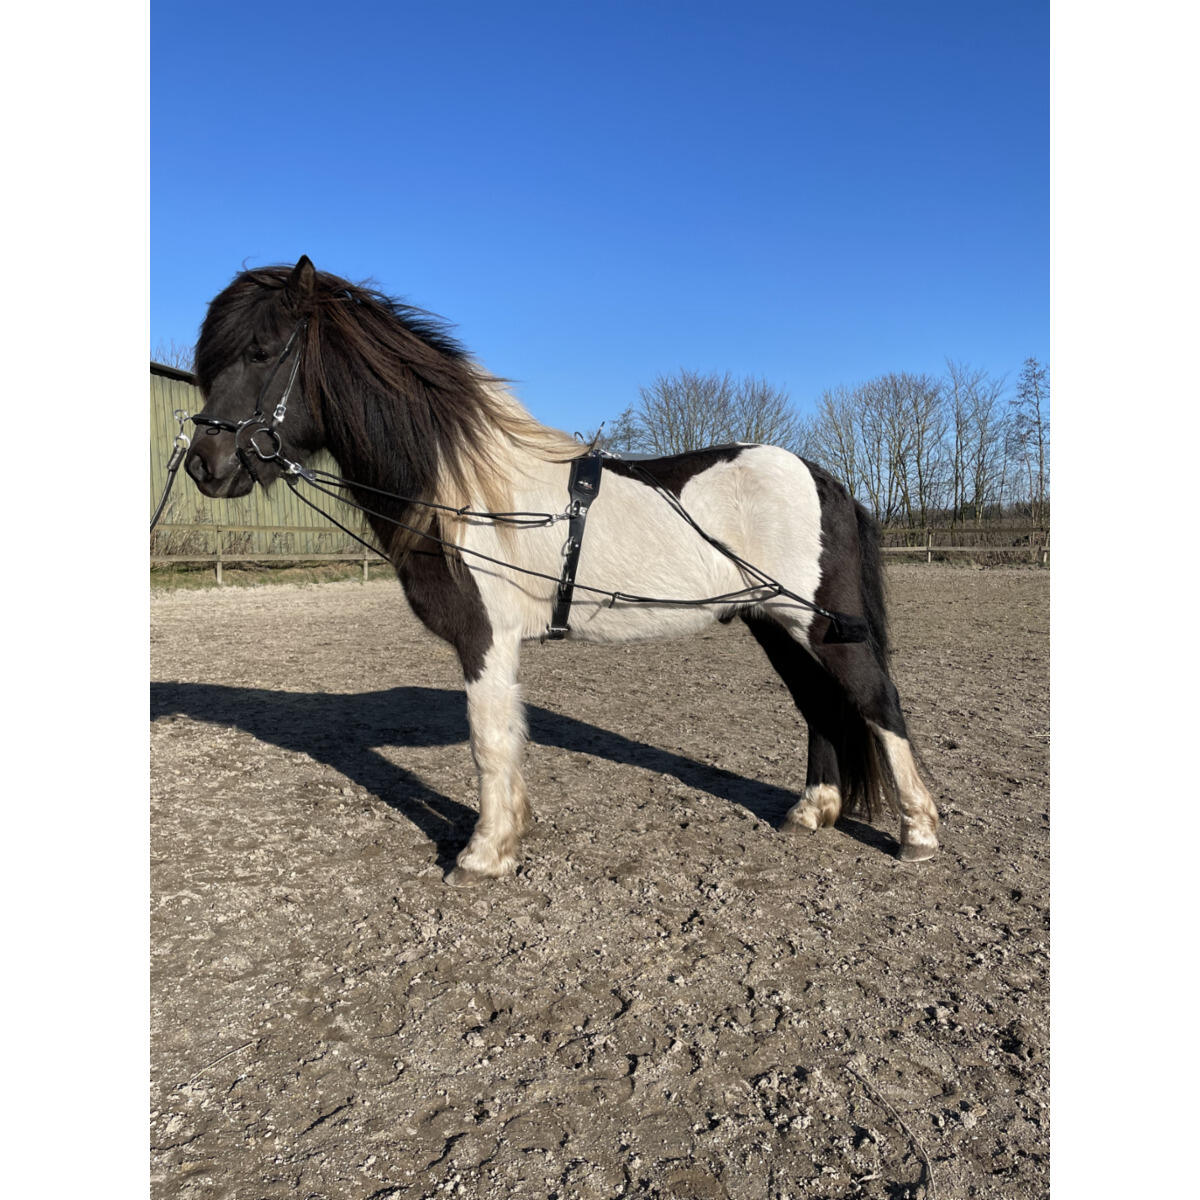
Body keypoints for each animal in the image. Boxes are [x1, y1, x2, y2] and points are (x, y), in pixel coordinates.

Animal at [183, 256, 939, 884]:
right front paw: (510, 834)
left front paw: (483, 855)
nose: (203, 466)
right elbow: (505, 741)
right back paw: (812, 811)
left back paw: (918, 835)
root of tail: (823, 477)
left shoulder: (483, 637)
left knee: (878, 703)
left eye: (259, 350)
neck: (464, 488)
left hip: (822, 626)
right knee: (820, 708)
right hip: (775, 624)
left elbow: (488, 741)